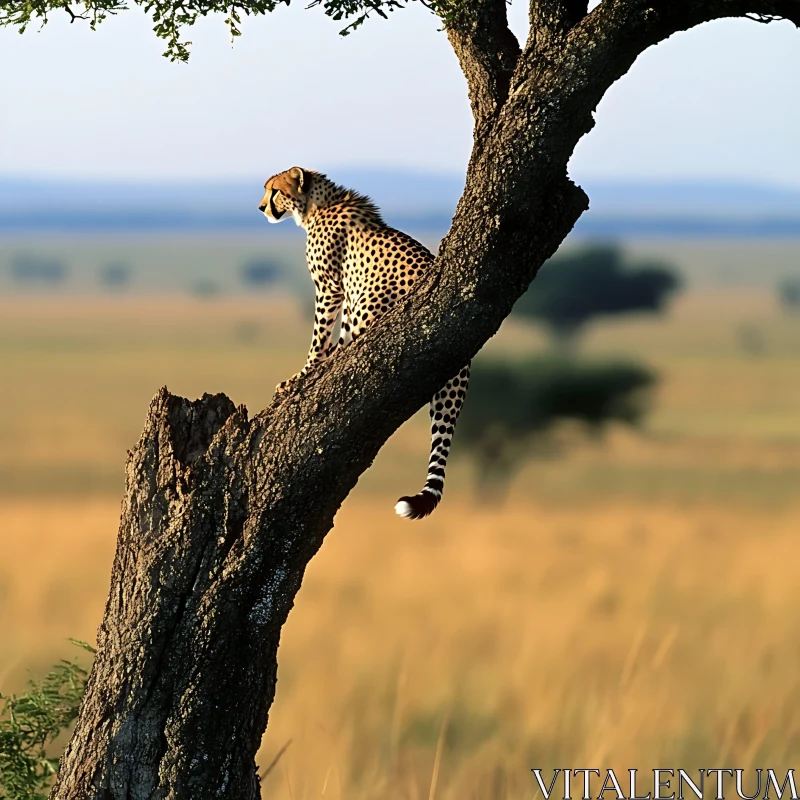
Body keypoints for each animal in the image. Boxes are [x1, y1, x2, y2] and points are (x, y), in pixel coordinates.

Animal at [256, 167, 468, 520]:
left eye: (274, 191)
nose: (261, 208)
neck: (316, 206)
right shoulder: (344, 292)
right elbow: (338, 337)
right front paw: (327, 361)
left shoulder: (329, 288)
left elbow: (320, 338)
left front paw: (305, 374)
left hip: (372, 296)